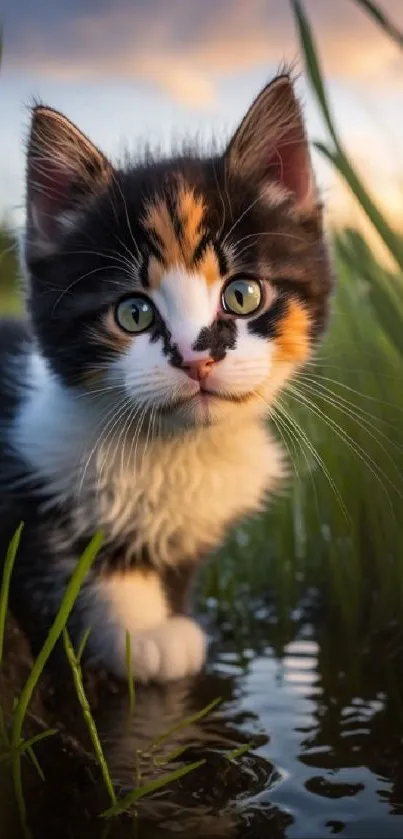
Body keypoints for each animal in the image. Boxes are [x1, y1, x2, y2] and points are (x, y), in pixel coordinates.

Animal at [0, 74, 332, 684]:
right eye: (134, 313)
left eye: (243, 294)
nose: (196, 358)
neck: (175, 452)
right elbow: (76, 557)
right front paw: (142, 636)